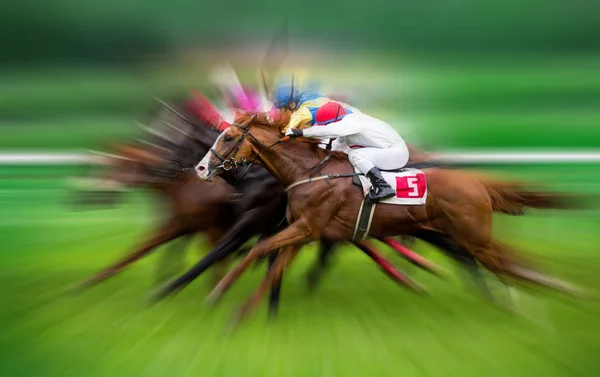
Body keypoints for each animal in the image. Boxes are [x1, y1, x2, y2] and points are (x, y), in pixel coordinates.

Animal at [193, 111, 584, 324]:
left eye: (228, 137)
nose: (200, 168)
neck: (309, 171)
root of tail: (476, 183)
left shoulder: (307, 227)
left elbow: (261, 252)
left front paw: (220, 291)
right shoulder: (303, 232)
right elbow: (274, 264)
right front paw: (242, 310)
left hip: (473, 236)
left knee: (511, 263)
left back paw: (549, 301)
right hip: (468, 236)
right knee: (511, 263)